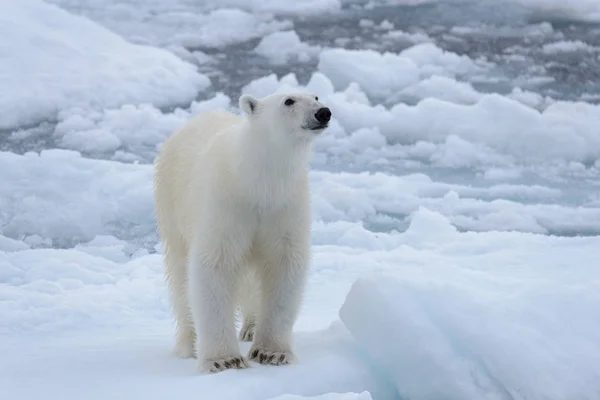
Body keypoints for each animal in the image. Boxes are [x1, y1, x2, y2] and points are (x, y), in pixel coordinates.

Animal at [154, 92, 332, 374]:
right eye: (289, 101)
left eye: (315, 96)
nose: (323, 112)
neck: (256, 181)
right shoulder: (226, 204)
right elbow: (214, 264)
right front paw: (223, 359)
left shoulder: (284, 206)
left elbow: (283, 264)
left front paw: (272, 353)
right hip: (171, 202)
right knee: (180, 274)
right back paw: (188, 343)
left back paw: (250, 327)